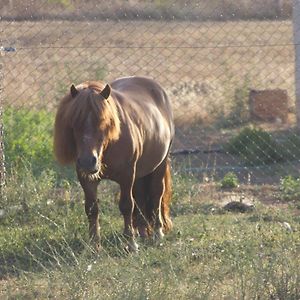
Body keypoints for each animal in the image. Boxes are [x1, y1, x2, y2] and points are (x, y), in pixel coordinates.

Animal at [54, 75, 173, 251]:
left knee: (156, 194)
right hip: (140, 172)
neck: (108, 146)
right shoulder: (87, 179)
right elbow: (92, 209)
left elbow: (126, 205)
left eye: (104, 121)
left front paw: (131, 243)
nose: (88, 161)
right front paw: (94, 245)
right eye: (74, 122)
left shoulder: (127, 176)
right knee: (140, 196)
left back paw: (157, 233)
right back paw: (142, 231)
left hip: (159, 165)